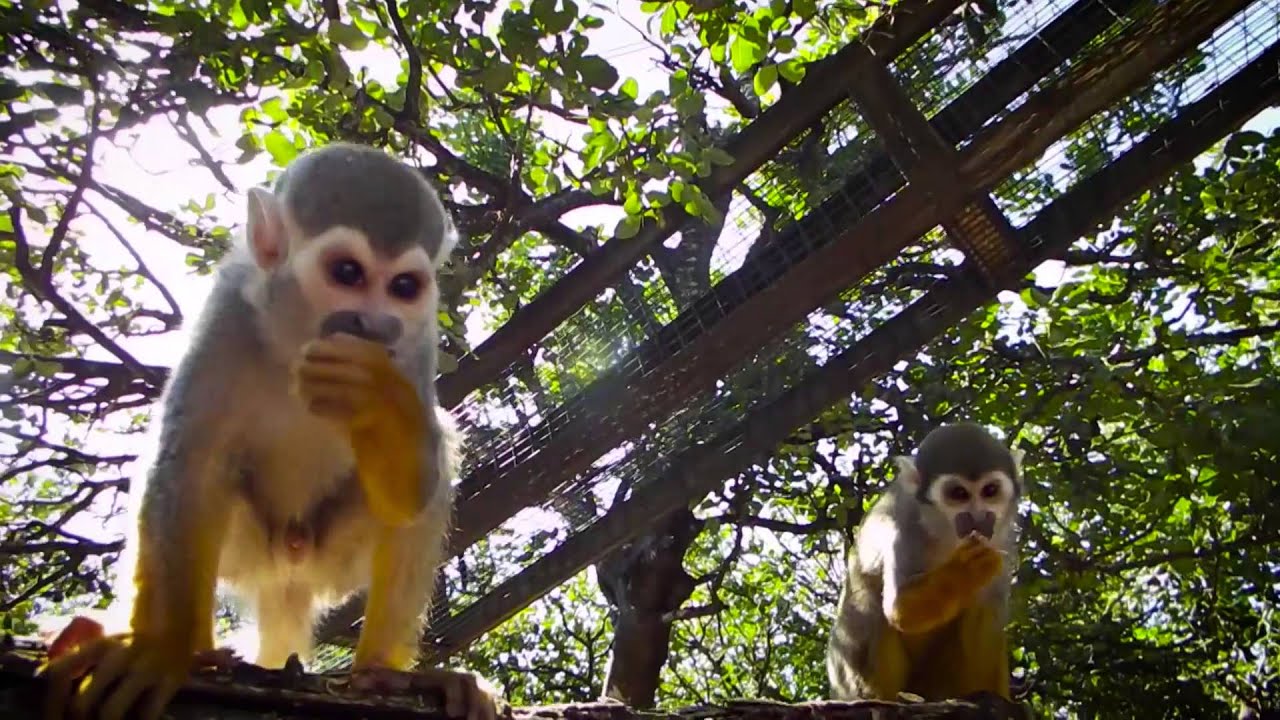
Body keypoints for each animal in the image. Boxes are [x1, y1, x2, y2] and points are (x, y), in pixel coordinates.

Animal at [39, 142, 503, 720]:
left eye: (403, 287)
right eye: (347, 272)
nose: (374, 326)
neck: (295, 339)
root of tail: (288, 577)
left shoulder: (416, 339)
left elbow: (413, 494)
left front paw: (372, 398)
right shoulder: (230, 308)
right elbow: (190, 467)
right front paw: (159, 650)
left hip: (332, 560)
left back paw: (384, 675)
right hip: (252, 551)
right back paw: (196, 651)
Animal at [826, 421, 1026, 702]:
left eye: (990, 491)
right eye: (958, 493)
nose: (977, 518)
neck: (947, 533)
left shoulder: (1002, 539)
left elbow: (987, 613)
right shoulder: (903, 524)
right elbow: (899, 608)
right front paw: (966, 570)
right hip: (848, 676)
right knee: (872, 611)